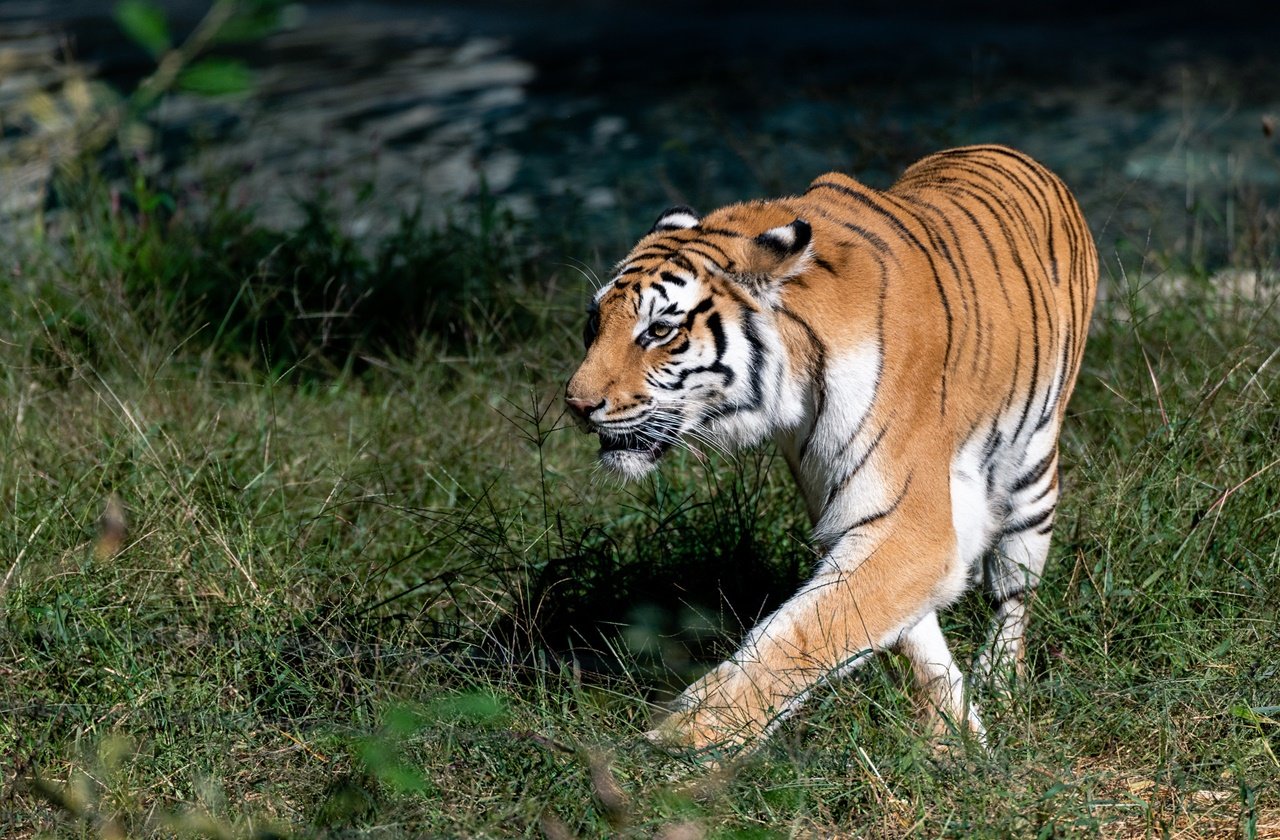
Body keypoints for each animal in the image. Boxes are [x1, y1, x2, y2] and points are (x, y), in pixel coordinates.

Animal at [565, 144, 1095, 763]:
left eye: (658, 330)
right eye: (593, 322)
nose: (576, 405)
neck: (795, 388)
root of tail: (1009, 151)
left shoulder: (909, 524)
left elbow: (802, 632)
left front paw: (683, 738)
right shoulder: (852, 512)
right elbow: (891, 629)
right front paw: (953, 737)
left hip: (1031, 480)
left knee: (1013, 599)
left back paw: (1002, 683)